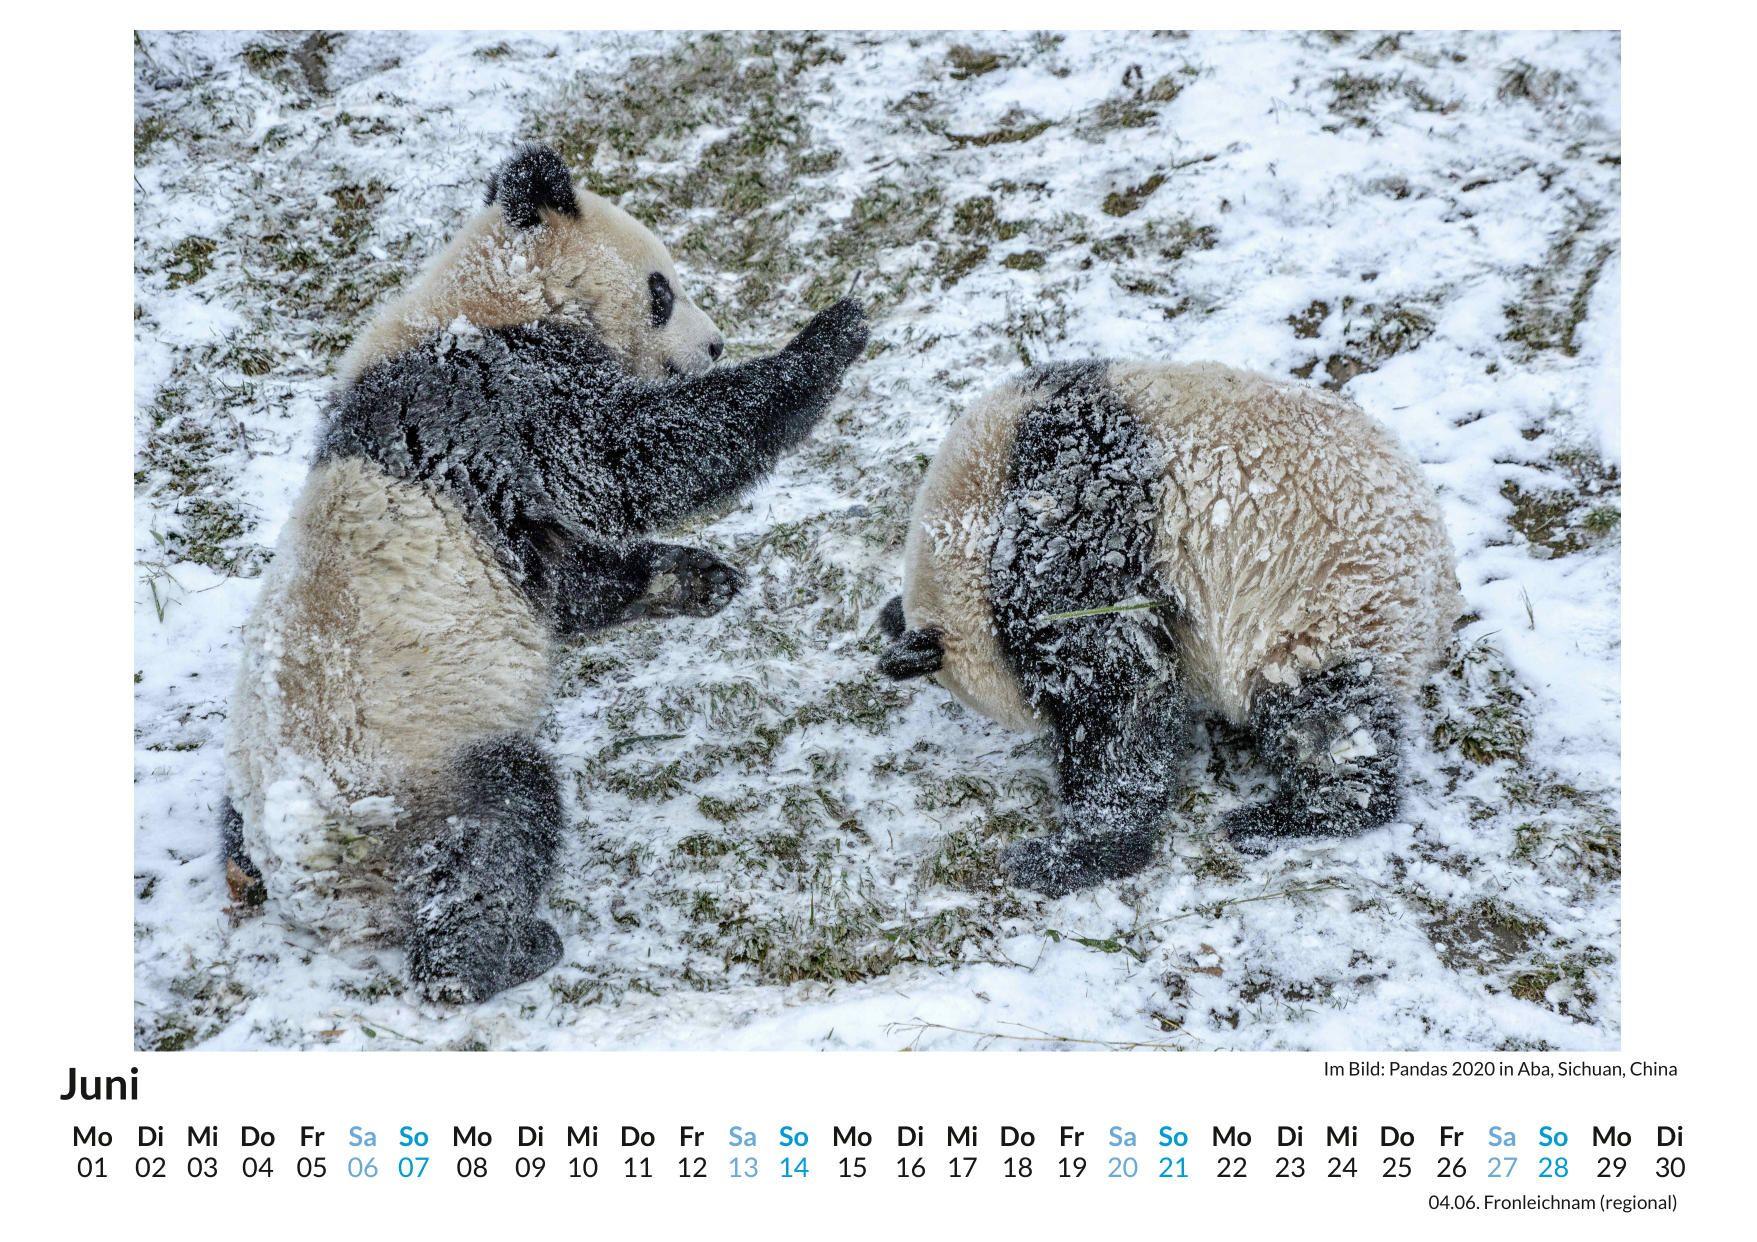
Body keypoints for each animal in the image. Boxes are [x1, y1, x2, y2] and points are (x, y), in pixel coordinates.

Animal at [224, 145, 869, 1003]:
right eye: (661, 291)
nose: (715, 345)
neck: (483, 300)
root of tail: (314, 892)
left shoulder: (515, 519)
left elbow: (572, 583)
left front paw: (701, 578)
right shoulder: (501, 406)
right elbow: (636, 457)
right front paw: (831, 335)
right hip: (411, 780)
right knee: (499, 823)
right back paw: (499, 954)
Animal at [877, 361, 1461, 896]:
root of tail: (1441, 583)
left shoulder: (1073, 544)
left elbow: (1124, 698)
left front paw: (1062, 855)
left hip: (1328, 605)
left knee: (1327, 722)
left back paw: (1285, 819)